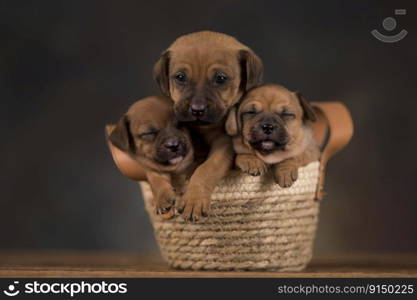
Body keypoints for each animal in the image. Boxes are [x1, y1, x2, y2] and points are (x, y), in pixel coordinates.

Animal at [153, 30, 264, 221]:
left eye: (220, 78)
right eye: (180, 77)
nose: (197, 109)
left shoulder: (223, 144)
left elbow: (206, 169)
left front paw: (194, 199)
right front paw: (162, 196)